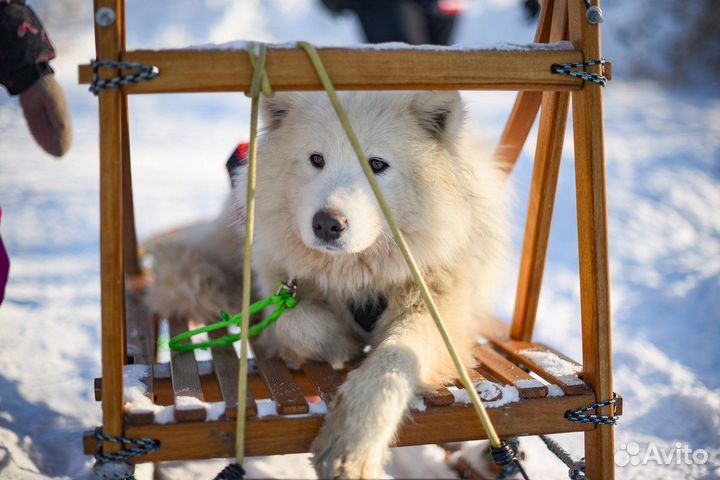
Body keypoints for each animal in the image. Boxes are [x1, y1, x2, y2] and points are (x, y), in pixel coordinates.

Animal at [146, 91, 510, 480]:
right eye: (316, 159)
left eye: (377, 164)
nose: (326, 224)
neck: (356, 274)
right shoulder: (281, 291)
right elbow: (295, 323)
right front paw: (343, 342)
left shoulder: (437, 311)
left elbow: (392, 362)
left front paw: (351, 445)